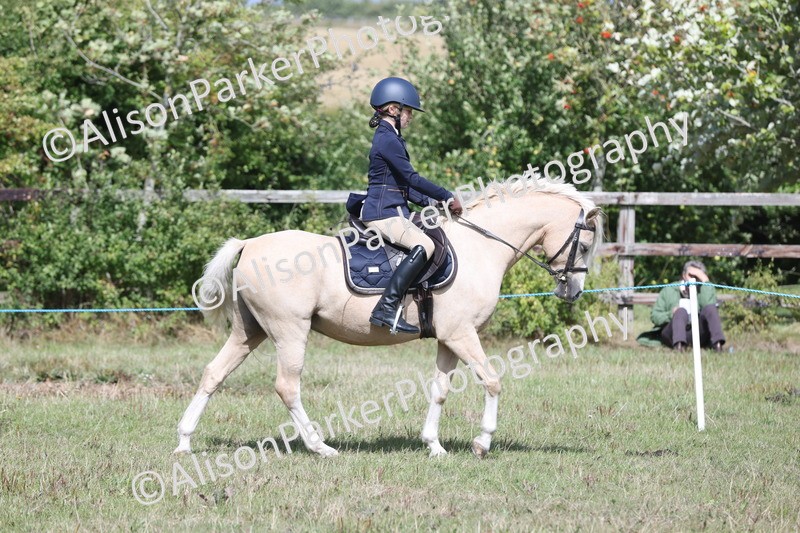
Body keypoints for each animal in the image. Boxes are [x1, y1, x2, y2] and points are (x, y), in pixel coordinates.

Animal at [174, 177, 603, 458]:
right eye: (583, 245)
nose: (572, 292)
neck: (481, 247)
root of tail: (249, 244)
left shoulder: (448, 338)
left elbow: (440, 390)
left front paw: (434, 446)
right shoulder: (462, 334)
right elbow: (493, 380)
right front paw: (482, 443)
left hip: (250, 331)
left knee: (214, 373)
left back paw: (184, 441)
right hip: (289, 330)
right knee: (287, 386)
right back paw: (320, 447)